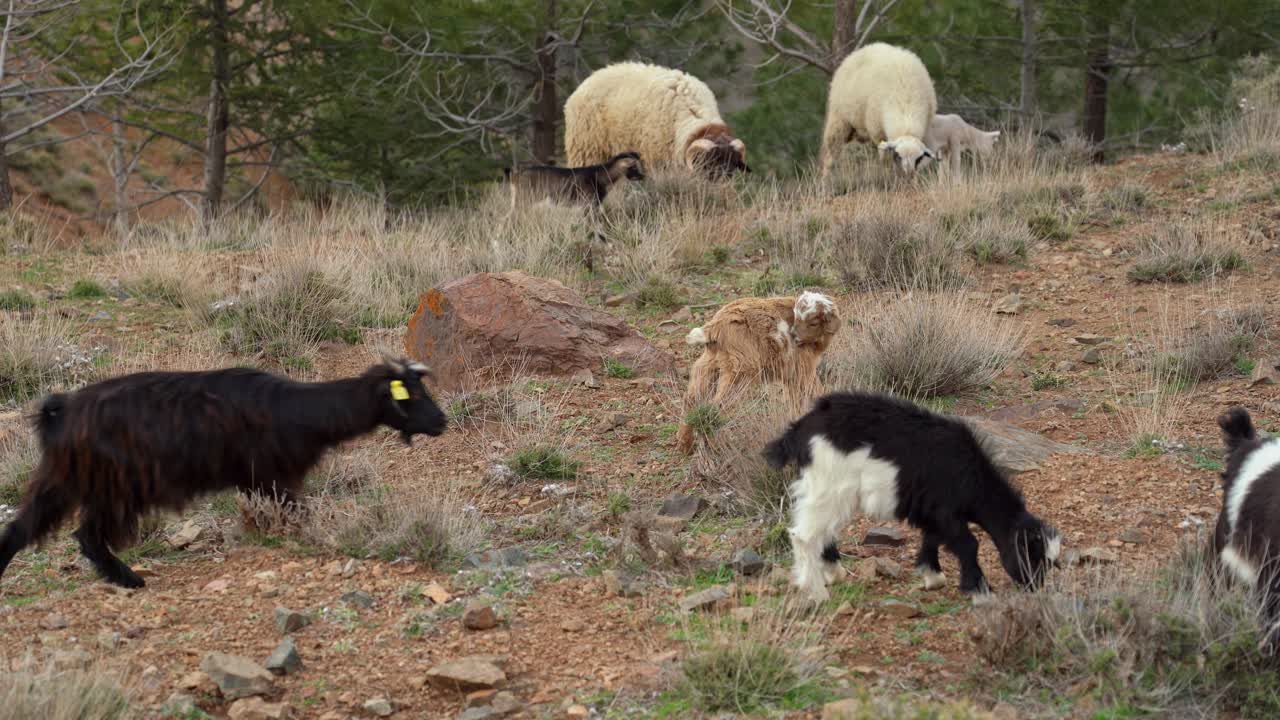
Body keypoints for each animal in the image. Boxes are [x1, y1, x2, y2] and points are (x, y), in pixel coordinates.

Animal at [0, 357, 447, 589]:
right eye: (413, 395)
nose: (442, 422)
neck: (298, 411)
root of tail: (62, 411)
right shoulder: (271, 477)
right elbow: (301, 515)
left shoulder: (262, 481)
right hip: (115, 486)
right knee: (88, 534)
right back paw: (128, 578)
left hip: (65, 480)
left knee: (24, 527)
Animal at [504, 152, 645, 210]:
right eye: (633, 167)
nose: (642, 176)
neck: (601, 178)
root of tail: (515, 175)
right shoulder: (588, 202)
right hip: (525, 198)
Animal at [675, 292, 841, 454]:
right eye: (800, 320)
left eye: (813, 323)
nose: (794, 337)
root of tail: (714, 326)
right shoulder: (803, 368)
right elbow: (815, 391)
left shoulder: (790, 375)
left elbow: (796, 400)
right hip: (741, 370)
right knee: (716, 406)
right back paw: (715, 446)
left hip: (710, 362)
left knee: (692, 399)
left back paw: (685, 445)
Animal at [763, 391, 1061, 604]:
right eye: (1031, 555)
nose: (1034, 587)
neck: (967, 472)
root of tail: (802, 428)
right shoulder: (945, 509)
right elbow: (968, 544)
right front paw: (979, 589)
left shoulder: (932, 511)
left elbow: (932, 539)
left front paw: (933, 577)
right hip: (830, 486)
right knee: (803, 535)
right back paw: (816, 592)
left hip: (821, 489)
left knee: (822, 530)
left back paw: (833, 573)